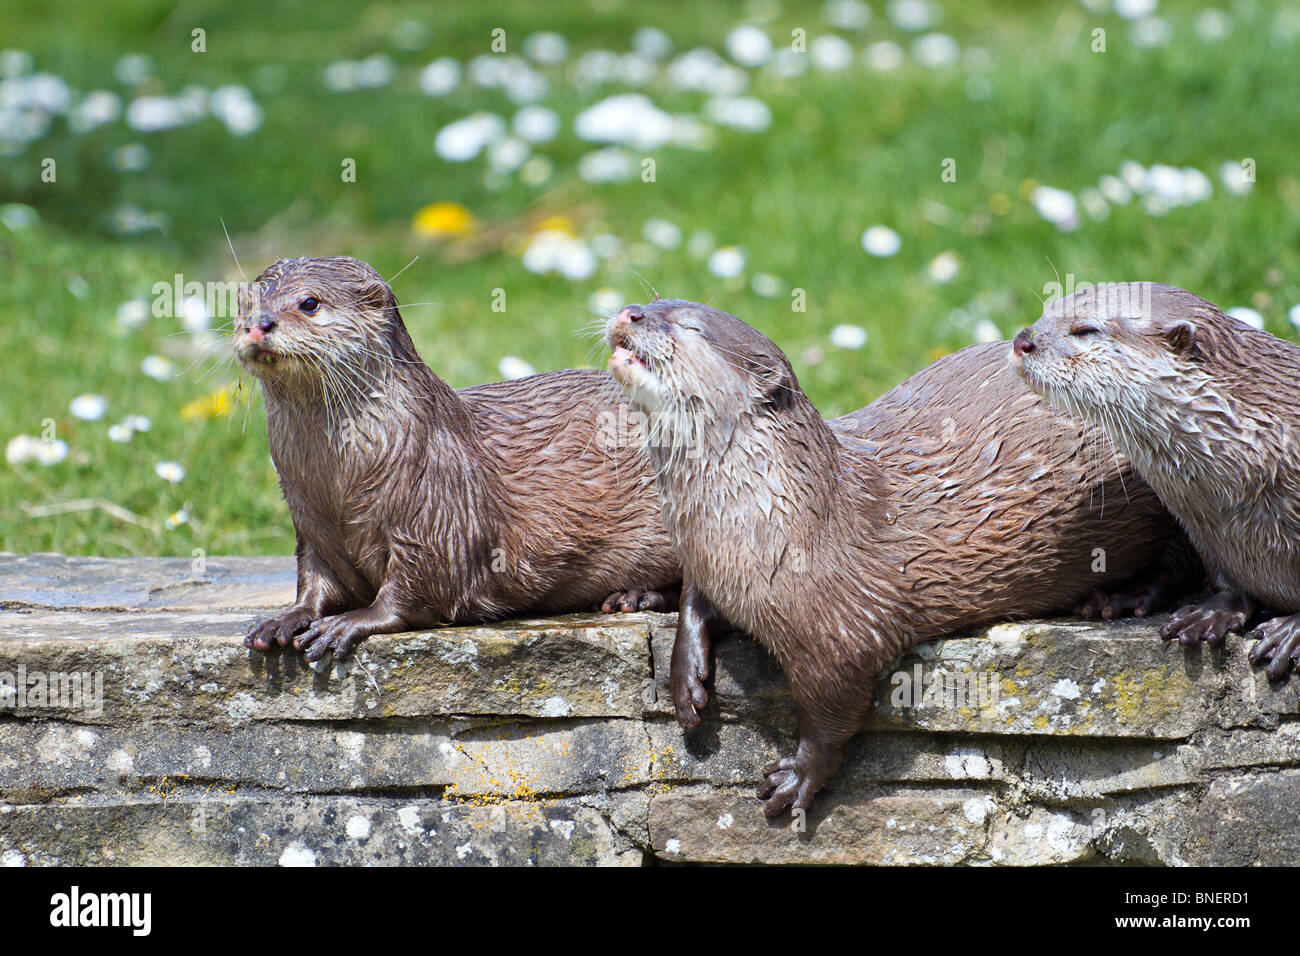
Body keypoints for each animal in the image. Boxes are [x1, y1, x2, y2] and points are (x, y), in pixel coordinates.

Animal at [236, 257, 681, 660]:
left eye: (309, 303)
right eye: (243, 302)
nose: (258, 323)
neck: (336, 485)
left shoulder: (436, 502)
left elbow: (422, 583)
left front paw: (350, 622)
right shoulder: (308, 521)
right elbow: (314, 576)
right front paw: (287, 618)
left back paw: (634, 595)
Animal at [603, 297, 1190, 816]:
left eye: (691, 328)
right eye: (655, 300)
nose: (630, 313)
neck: (779, 523)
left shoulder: (843, 632)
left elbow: (834, 712)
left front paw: (798, 777)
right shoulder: (708, 562)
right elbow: (692, 601)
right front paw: (686, 677)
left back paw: (1122, 598)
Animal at [1013, 282, 1300, 681]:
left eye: (1085, 329)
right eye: (1046, 312)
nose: (1023, 340)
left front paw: (1292, 632)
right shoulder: (1208, 533)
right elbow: (1230, 583)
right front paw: (1211, 612)